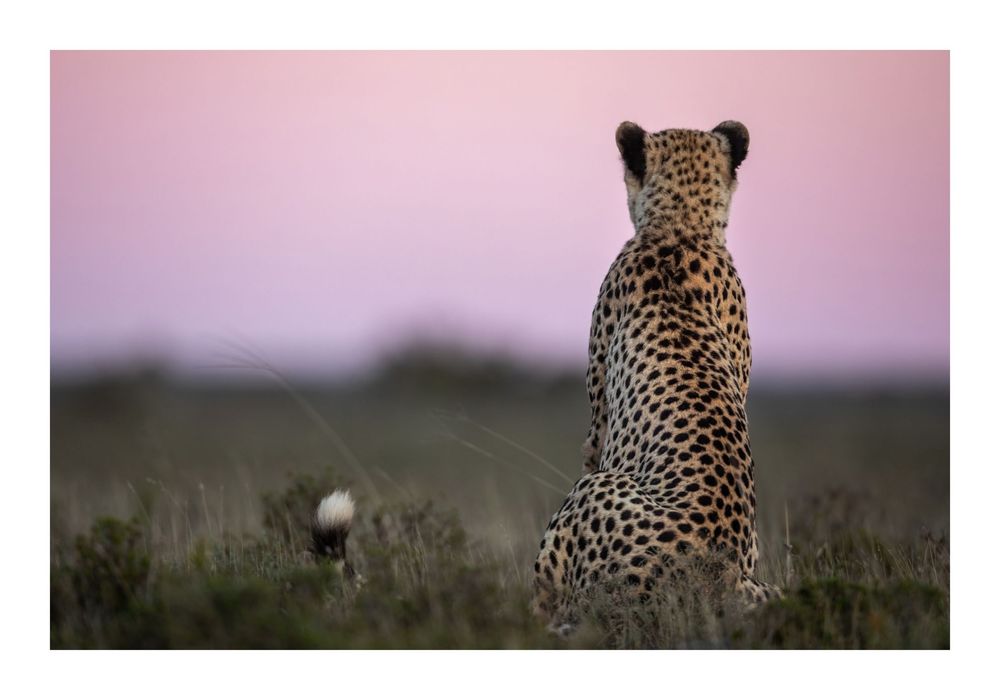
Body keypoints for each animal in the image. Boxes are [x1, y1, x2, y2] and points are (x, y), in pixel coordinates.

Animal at [532, 120, 780, 630]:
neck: (681, 230)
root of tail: (717, 580)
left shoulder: (599, 418)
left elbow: (591, 447)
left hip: (593, 496)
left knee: (542, 601)